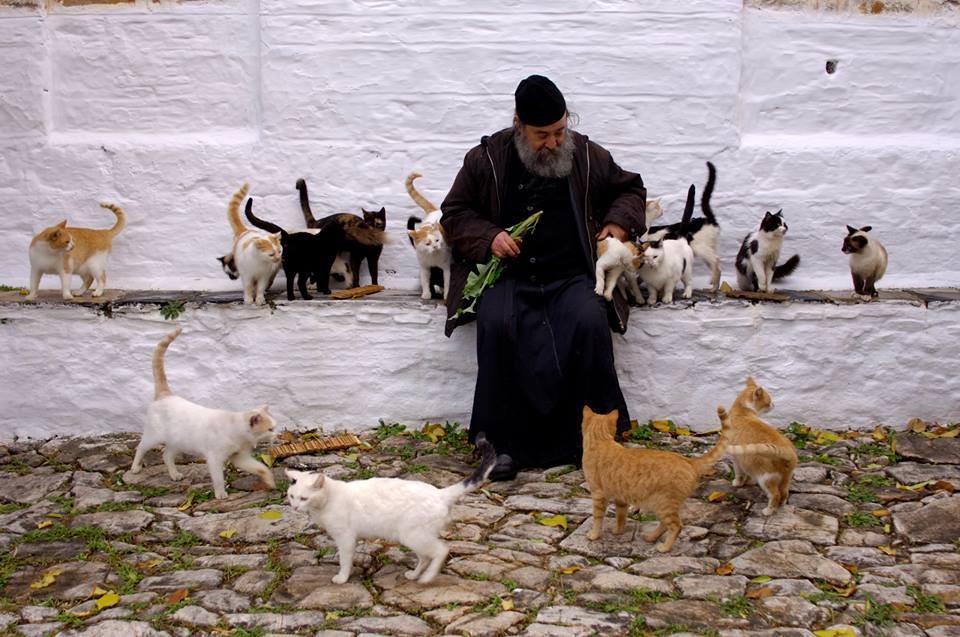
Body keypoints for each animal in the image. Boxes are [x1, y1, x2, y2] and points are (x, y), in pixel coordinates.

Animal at [130, 330, 278, 500]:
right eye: (270, 429)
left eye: (275, 427)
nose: (277, 435)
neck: (236, 430)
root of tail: (166, 395)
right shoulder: (215, 458)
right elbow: (218, 479)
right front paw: (221, 494)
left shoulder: (240, 457)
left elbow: (260, 468)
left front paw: (270, 481)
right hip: (153, 436)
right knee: (141, 448)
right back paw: (135, 467)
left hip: (179, 442)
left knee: (166, 455)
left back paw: (174, 474)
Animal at [284, 434, 496, 584]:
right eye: (292, 496)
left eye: (304, 498)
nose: (294, 507)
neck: (328, 500)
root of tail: (440, 493)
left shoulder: (345, 538)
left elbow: (345, 560)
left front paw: (342, 578)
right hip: (415, 537)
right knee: (426, 557)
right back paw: (415, 575)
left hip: (414, 535)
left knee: (442, 550)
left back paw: (427, 578)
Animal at [576, 408, 728, 552]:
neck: (600, 440)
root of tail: (688, 460)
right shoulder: (621, 498)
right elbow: (620, 516)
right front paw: (618, 531)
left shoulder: (598, 494)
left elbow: (597, 517)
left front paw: (594, 535)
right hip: (662, 506)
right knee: (665, 524)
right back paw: (651, 537)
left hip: (663, 505)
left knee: (677, 526)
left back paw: (665, 548)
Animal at [720, 376, 796, 516]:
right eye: (769, 401)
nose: (773, 405)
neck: (742, 410)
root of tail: (787, 450)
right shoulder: (746, 461)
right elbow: (748, 473)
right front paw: (749, 482)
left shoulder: (736, 459)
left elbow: (739, 474)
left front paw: (738, 483)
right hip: (785, 479)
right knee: (784, 493)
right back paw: (781, 506)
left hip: (766, 479)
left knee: (775, 495)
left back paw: (769, 510)